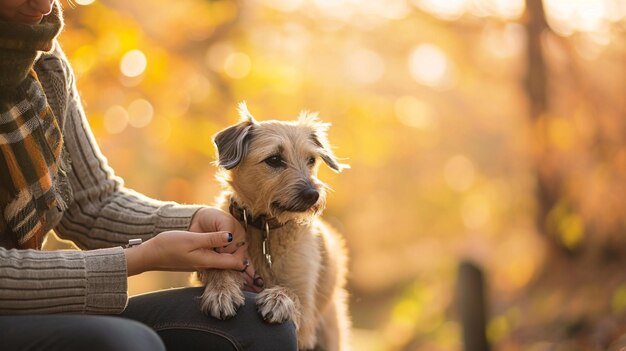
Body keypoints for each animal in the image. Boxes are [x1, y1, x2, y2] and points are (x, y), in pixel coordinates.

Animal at [196, 103, 348, 350]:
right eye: (274, 159)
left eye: (311, 160)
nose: (313, 195)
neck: (265, 227)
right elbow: (219, 270)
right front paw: (221, 291)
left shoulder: (306, 319)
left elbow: (293, 294)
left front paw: (279, 298)